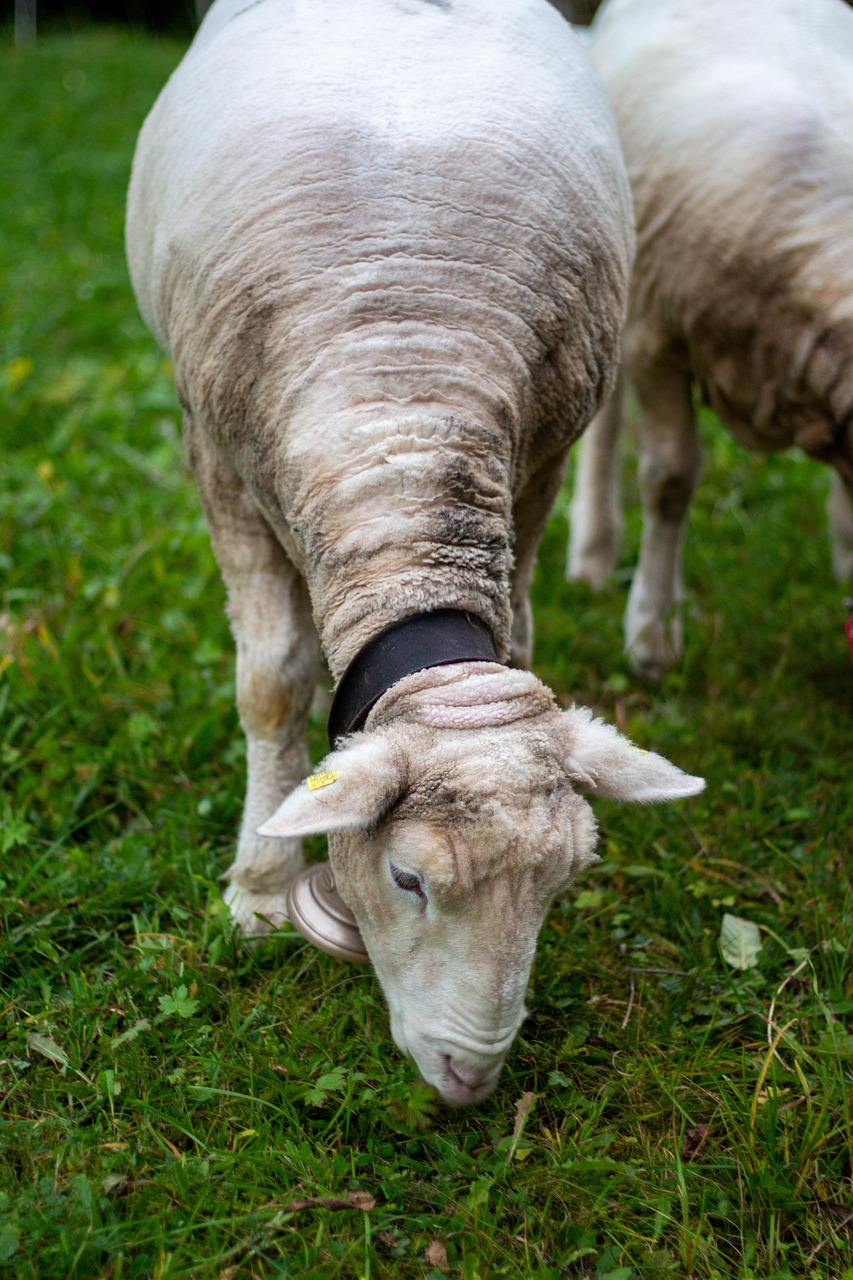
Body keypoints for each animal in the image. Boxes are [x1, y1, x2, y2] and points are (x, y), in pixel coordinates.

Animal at [126, 0, 704, 1105]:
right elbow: (272, 683)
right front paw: (259, 888)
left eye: (565, 882)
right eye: (406, 877)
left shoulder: (536, 463)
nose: (468, 1078)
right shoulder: (219, 461)